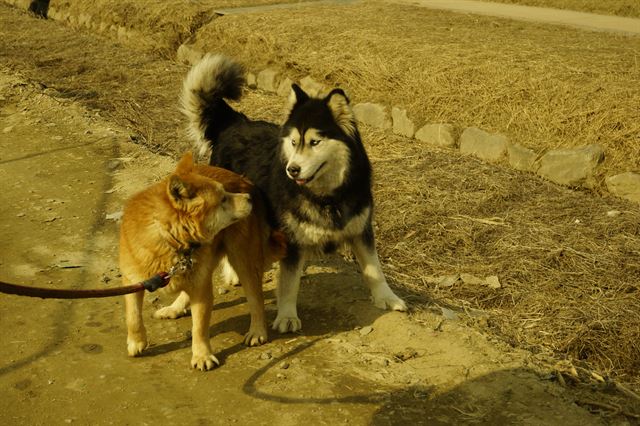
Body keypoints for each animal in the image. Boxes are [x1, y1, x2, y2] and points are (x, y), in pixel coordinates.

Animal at [119, 153, 284, 370]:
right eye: (223, 199)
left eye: (226, 192)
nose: (248, 198)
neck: (169, 238)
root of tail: (245, 181)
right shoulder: (133, 282)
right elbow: (133, 317)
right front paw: (136, 341)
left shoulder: (202, 290)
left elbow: (199, 327)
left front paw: (201, 355)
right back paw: (175, 307)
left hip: (243, 261)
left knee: (256, 299)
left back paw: (257, 331)